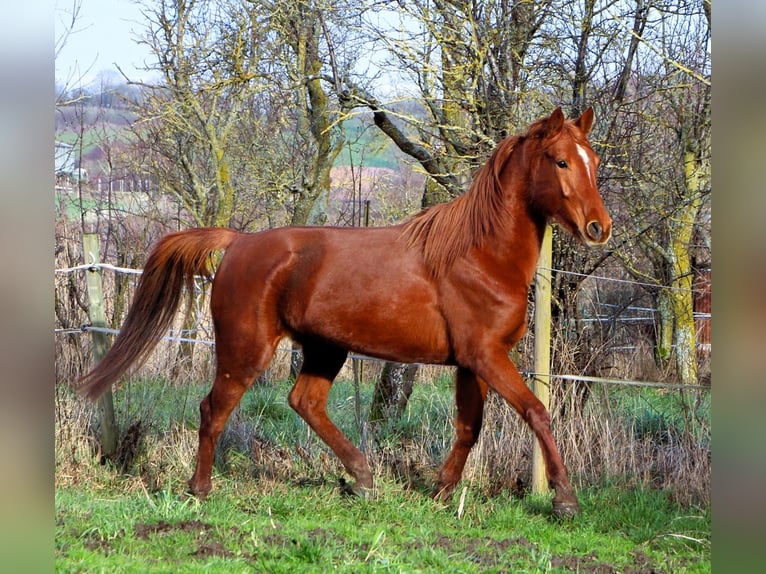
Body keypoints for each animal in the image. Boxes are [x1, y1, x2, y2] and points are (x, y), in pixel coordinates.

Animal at [78, 107, 611, 518]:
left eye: (595, 161)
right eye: (562, 161)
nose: (598, 227)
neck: (480, 255)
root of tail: (238, 244)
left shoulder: (474, 362)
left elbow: (469, 427)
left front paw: (441, 494)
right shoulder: (486, 356)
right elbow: (538, 412)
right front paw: (565, 500)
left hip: (324, 349)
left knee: (305, 402)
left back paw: (363, 477)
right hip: (245, 349)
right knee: (215, 409)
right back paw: (201, 490)